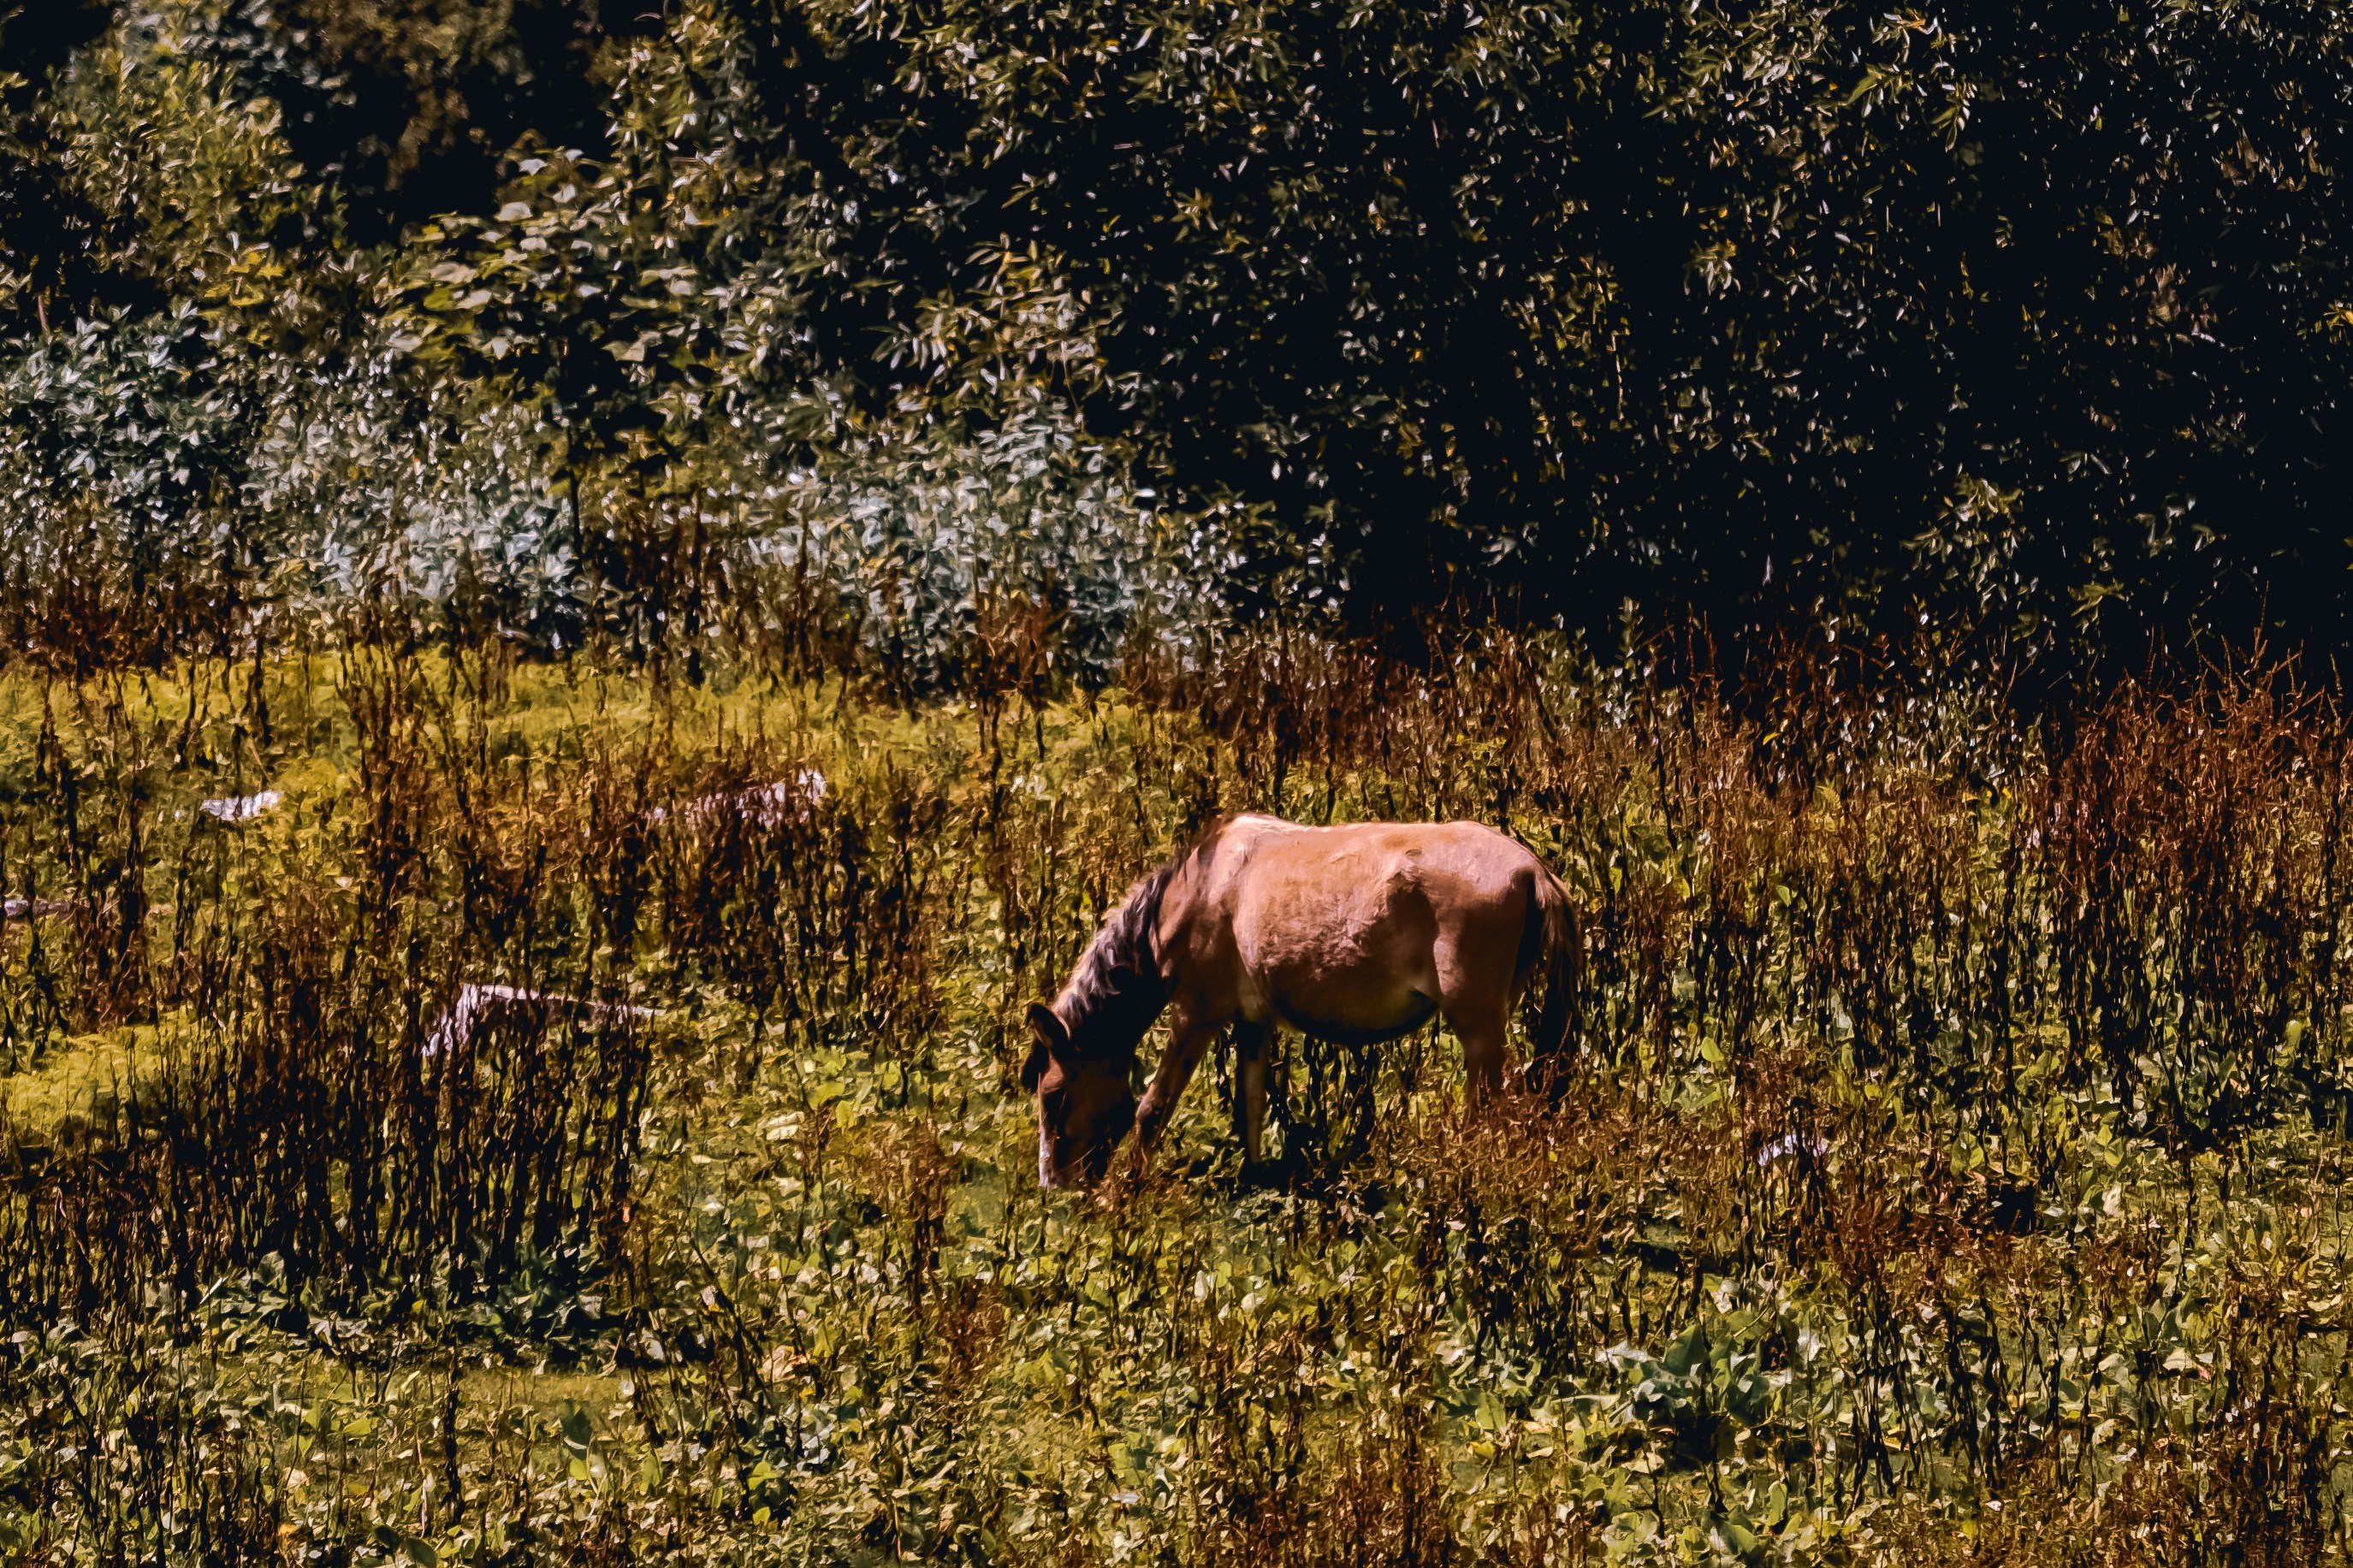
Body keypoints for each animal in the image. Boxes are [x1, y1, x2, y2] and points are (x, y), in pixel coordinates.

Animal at [1021, 813, 1576, 1188]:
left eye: (1053, 1096)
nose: (1055, 1187)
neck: (1196, 889)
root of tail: (1532, 868)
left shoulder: (1195, 1014)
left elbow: (1152, 1109)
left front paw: (1127, 1194)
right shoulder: (1253, 1022)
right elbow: (1249, 1107)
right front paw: (1254, 1183)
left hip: (1478, 1024)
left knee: (1497, 1110)